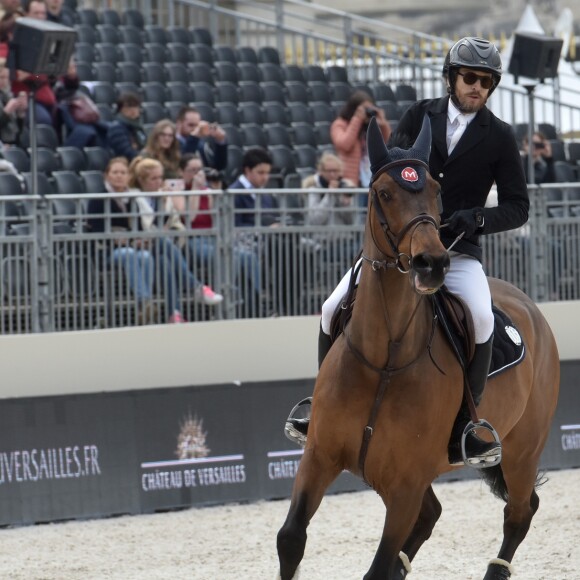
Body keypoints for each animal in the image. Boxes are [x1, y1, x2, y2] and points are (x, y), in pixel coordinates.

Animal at [276, 115, 560, 576]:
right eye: (383, 194)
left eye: (436, 192)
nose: (432, 264)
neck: (385, 356)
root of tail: (531, 307)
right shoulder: (319, 458)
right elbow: (290, 539)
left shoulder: (405, 484)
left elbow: (375, 568)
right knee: (435, 514)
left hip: (521, 451)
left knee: (520, 512)